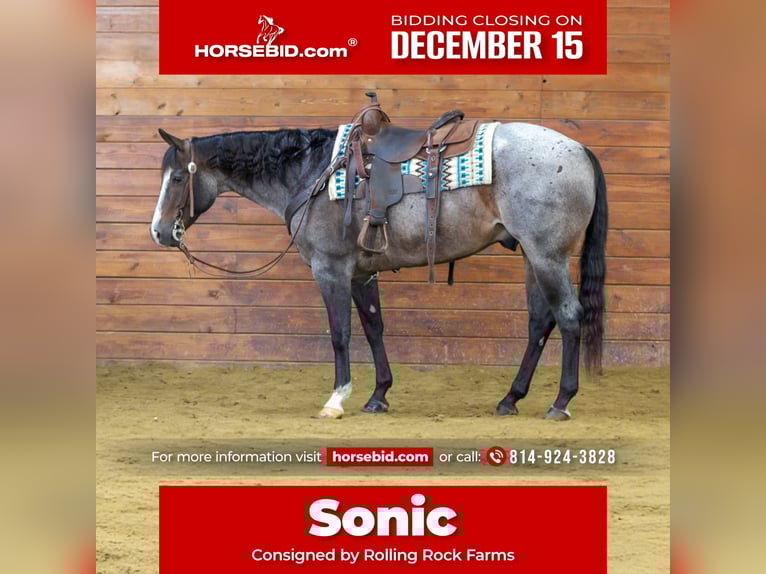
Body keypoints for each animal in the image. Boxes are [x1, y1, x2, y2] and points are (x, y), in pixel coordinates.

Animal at [149, 116, 607, 421]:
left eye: (177, 178)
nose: (158, 232)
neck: (312, 174)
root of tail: (579, 149)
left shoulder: (330, 269)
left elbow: (340, 333)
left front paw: (337, 399)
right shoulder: (359, 273)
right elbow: (373, 328)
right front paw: (378, 395)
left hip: (547, 255)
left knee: (568, 317)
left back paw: (560, 402)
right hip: (533, 256)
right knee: (539, 323)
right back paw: (510, 398)